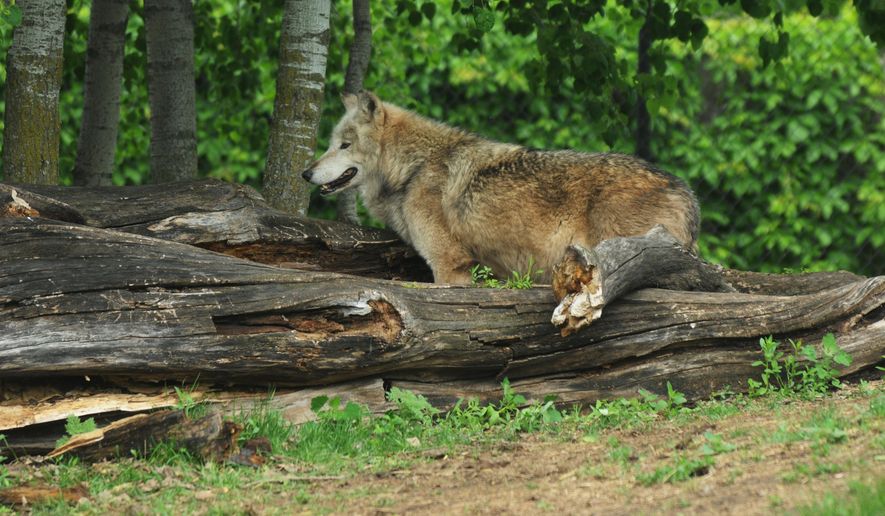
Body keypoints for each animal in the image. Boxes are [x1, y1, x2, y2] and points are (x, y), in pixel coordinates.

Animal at [302, 91, 700, 284]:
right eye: (333, 143)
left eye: (343, 145)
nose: (306, 173)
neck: (413, 168)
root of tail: (684, 189)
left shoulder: (450, 266)